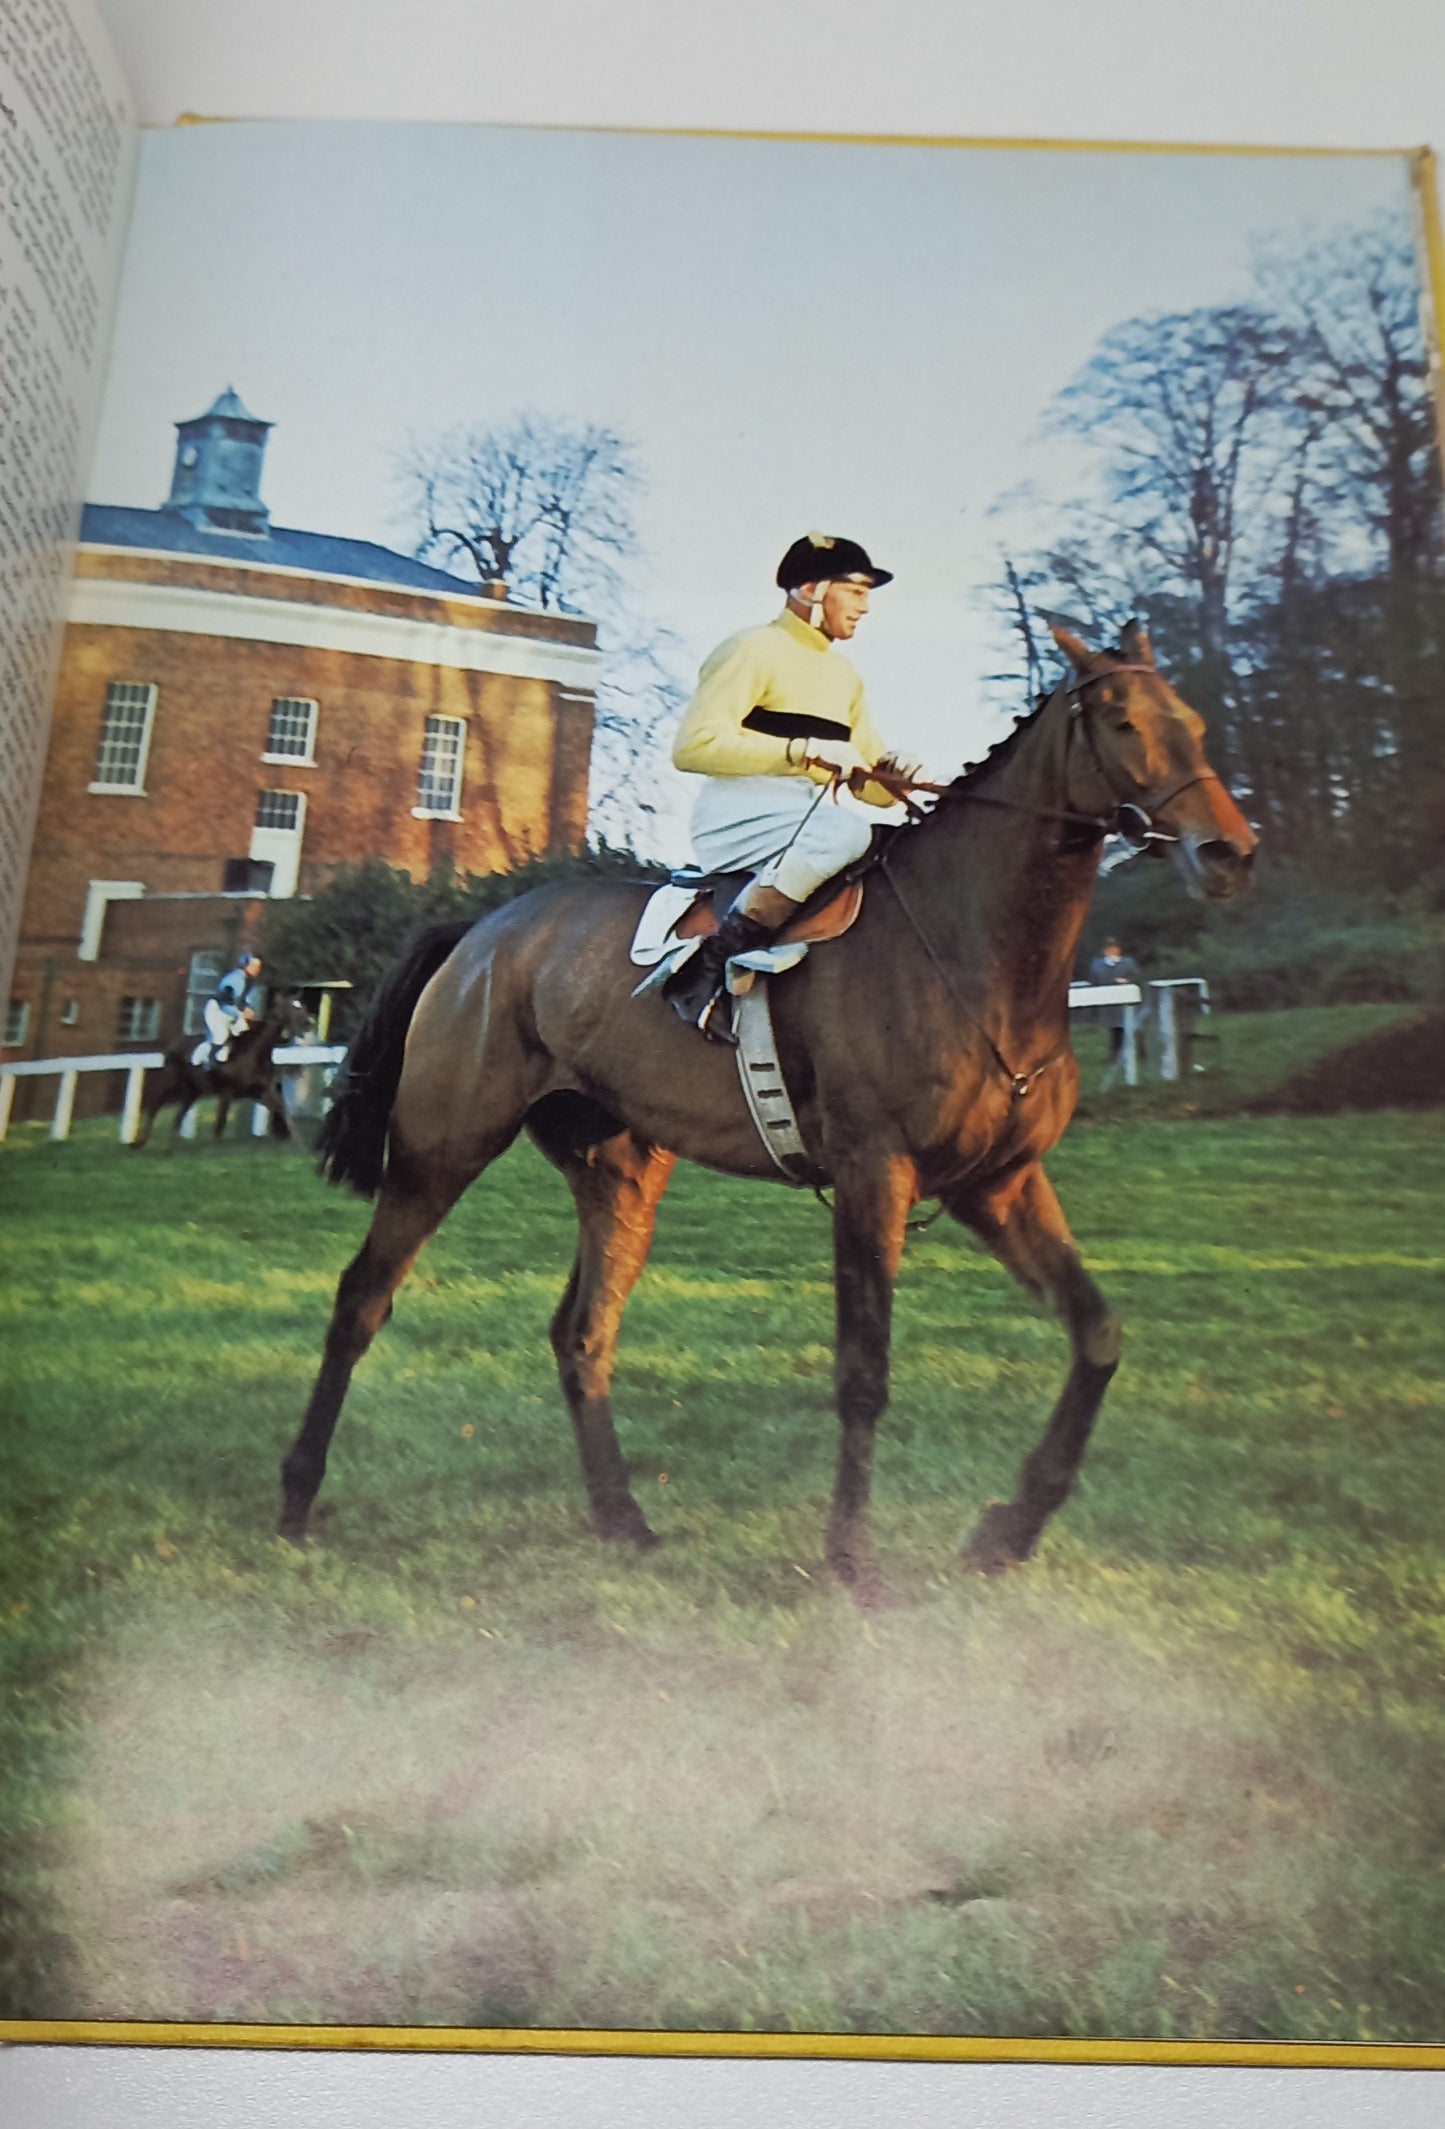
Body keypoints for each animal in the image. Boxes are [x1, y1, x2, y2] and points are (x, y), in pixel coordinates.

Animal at [132, 993, 310, 1148]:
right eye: (291, 1007)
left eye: (302, 1006)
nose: (307, 1026)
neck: (254, 1051)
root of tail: (175, 1043)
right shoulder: (227, 1091)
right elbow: (220, 1121)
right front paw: (213, 1150)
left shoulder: (260, 1091)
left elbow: (282, 1109)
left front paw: (299, 1144)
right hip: (172, 1083)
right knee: (155, 1104)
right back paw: (140, 1142)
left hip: (192, 1091)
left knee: (177, 1117)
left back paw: (169, 1149)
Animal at [280, 623, 1256, 1594]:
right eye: (1123, 721)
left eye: (1196, 722)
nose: (1229, 852)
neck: (970, 948)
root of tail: (483, 932)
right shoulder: (874, 1174)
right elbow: (863, 1371)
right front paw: (851, 1556)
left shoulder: (999, 1182)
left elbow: (1097, 1333)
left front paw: (1008, 1528)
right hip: (440, 1150)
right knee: (363, 1297)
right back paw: (296, 1498)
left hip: (621, 1175)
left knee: (583, 1333)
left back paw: (621, 1517)